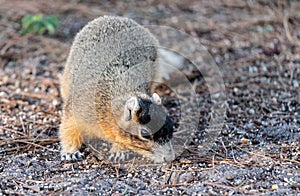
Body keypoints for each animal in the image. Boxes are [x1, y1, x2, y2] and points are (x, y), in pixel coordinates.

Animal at [58, 15, 176, 163]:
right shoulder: (77, 108)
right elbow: (68, 129)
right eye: (144, 133)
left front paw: (119, 151)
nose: (170, 157)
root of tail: (115, 17)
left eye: (171, 127)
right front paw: (70, 152)